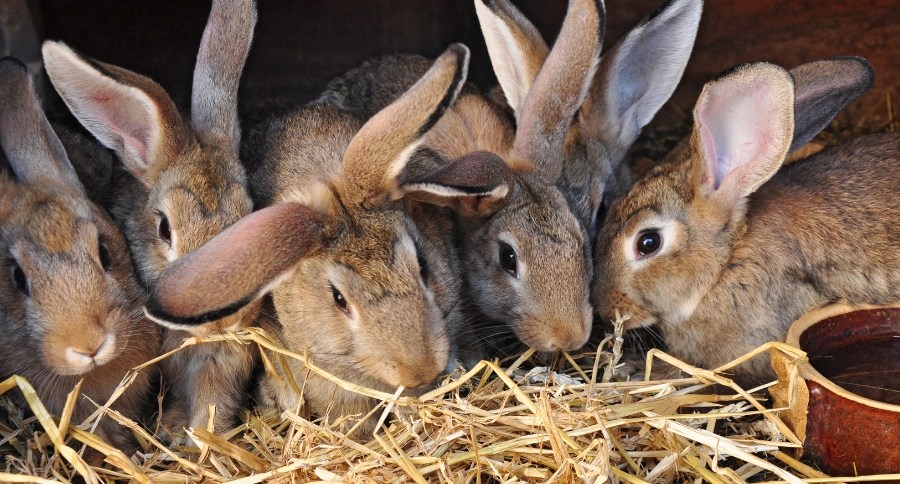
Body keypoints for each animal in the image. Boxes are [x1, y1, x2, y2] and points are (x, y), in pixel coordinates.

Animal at [41, 0, 262, 440]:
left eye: (248, 212)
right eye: (165, 230)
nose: (227, 317)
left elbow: (212, 404)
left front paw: (200, 440)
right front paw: (176, 429)